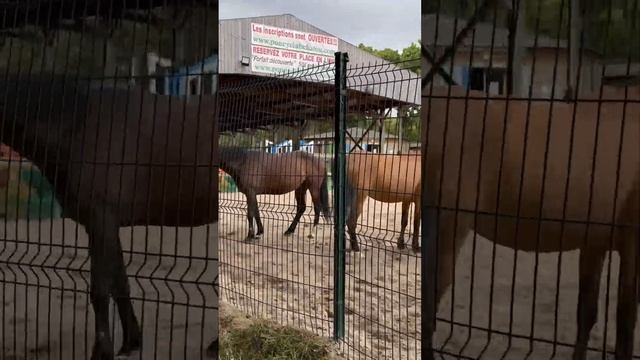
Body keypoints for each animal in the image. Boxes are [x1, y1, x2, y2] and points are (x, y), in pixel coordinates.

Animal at [0, 74, 218, 360]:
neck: (77, 125)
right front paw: (130, 342)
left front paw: (102, 351)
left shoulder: (101, 219)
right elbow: (120, 284)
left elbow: (100, 290)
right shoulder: (102, 225)